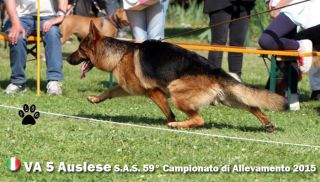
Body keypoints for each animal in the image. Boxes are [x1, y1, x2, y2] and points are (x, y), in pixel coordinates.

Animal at [67, 22, 288, 132]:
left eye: (80, 50)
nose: (68, 58)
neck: (121, 54)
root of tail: (215, 71)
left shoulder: (154, 92)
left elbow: (168, 113)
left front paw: (170, 123)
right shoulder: (127, 87)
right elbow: (109, 90)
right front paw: (95, 99)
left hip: (177, 92)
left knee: (199, 119)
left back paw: (178, 125)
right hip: (230, 99)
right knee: (253, 105)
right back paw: (267, 124)